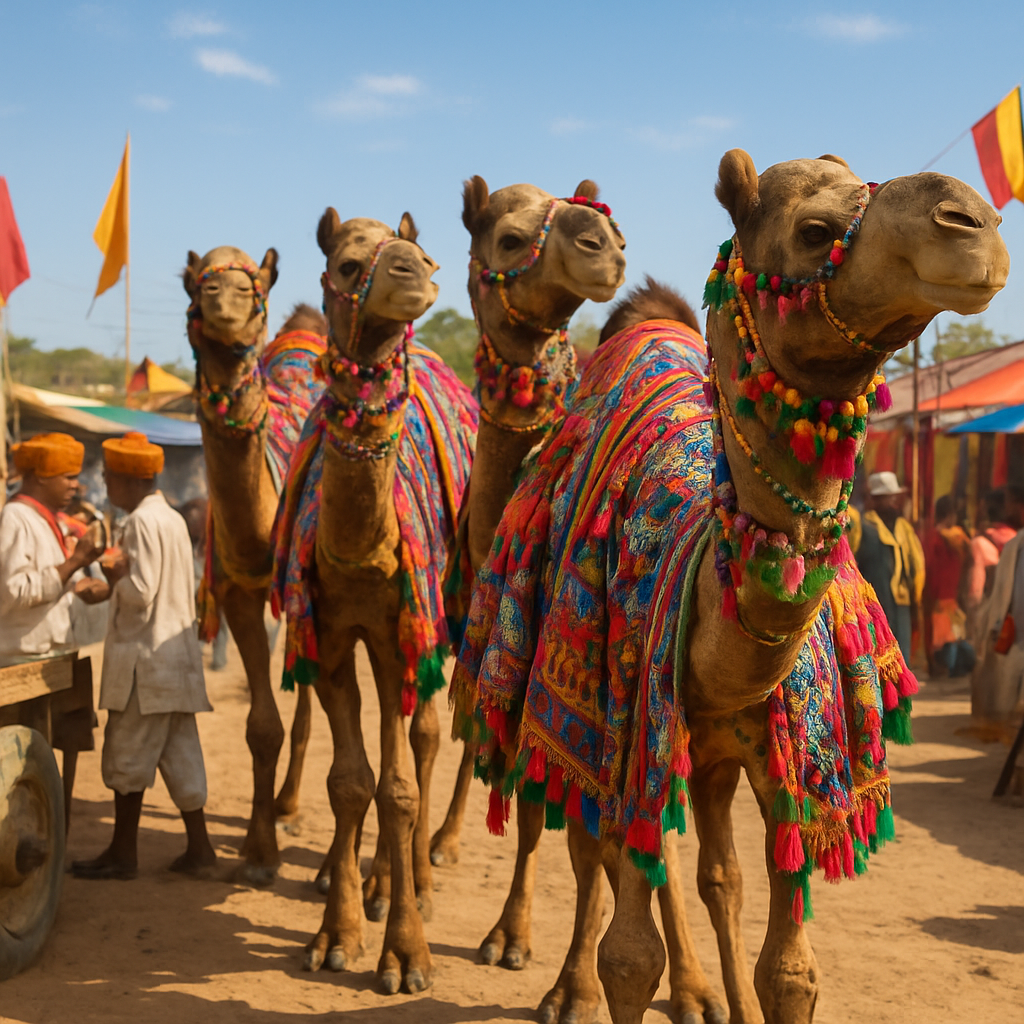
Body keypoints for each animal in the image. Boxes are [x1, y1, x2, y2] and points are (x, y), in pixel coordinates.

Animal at [271, 210, 475, 994]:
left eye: (417, 253)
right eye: (350, 264)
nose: (414, 271)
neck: (361, 549)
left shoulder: (398, 635)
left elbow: (398, 788)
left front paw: (407, 956)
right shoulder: (329, 638)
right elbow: (350, 783)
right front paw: (336, 937)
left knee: (422, 741)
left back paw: (407, 881)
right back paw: (346, 873)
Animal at [452, 151, 1008, 1024]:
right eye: (813, 230)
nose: (971, 221)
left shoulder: (786, 762)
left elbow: (790, 968)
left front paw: (714, 992)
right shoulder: (625, 734)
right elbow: (628, 953)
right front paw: (589, 986)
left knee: (708, 873)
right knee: (608, 850)